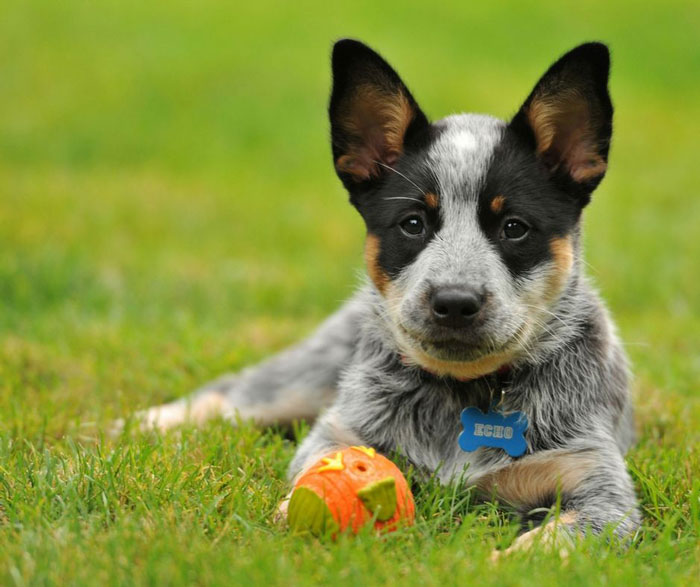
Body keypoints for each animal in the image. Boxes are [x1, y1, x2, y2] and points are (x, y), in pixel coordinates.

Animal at [131, 40, 640, 552]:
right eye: (413, 223)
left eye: (514, 227)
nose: (455, 301)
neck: (462, 396)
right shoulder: (339, 431)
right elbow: (309, 477)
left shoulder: (599, 487)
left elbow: (557, 541)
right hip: (307, 377)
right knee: (233, 394)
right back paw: (147, 423)